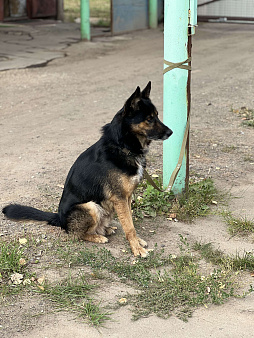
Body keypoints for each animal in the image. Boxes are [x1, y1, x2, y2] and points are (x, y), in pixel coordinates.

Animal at [2, 82, 173, 256]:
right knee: (76, 234)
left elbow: (129, 221)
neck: (123, 146)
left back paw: (105, 229)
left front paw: (137, 242)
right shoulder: (120, 198)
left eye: (157, 115)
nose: (171, 132)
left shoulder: (127, 197)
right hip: (90, 206)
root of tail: (59, 218)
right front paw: (136, 249)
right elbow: (129, 226)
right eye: (149, 119)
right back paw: (97, 237)